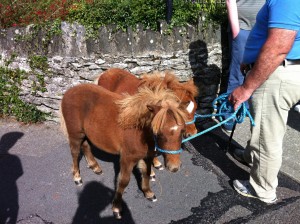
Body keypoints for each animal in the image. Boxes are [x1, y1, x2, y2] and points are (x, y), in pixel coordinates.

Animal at [60, 83, 188, 219]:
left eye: (182, 130)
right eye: (158, 132)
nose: (174, 167)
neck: (139, 131)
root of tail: (68, 92)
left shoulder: (147, 157)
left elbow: (146, 173)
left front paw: (148, 193)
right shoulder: (127, 159)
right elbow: (123, 181)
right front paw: (117, 207)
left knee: (86, 146)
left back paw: (95, 166)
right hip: (75, 134)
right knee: (75, 153)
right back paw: (77, 177)